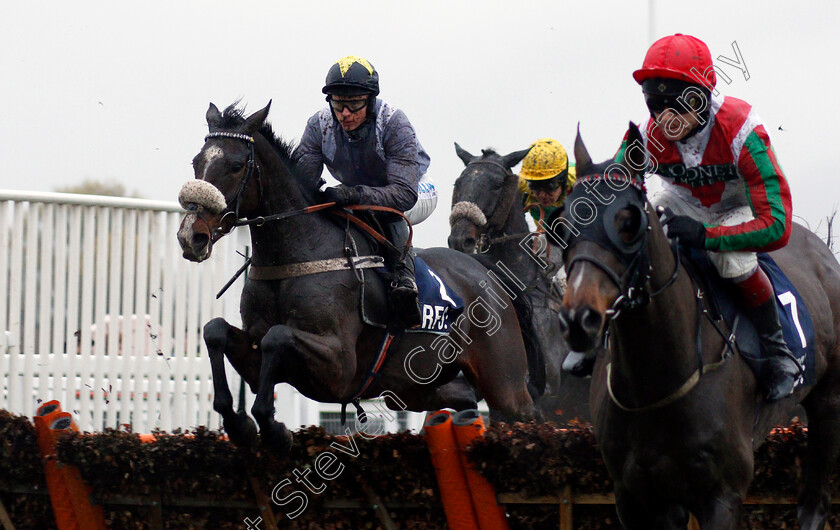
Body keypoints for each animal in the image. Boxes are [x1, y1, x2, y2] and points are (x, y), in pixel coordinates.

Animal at [178, 101, 540, 448]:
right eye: (196, 162)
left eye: (236, 165)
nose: (190, 236)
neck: (297, 254)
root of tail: (487, 273)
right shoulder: (257, 360)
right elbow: (215, 331)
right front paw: (239, 425)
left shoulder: (340, 368)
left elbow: (277, 337)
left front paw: (272, 427)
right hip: (415, 386)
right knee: (461, 398)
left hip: (504, 383)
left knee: (527, 415)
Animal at [552, 122, 840, 524]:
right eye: (564, 224)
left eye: (629, 222)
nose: (580, 318)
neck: (654, 385)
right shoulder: (636, 496)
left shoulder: (721, 495)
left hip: (828, 402)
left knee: (814, 503)